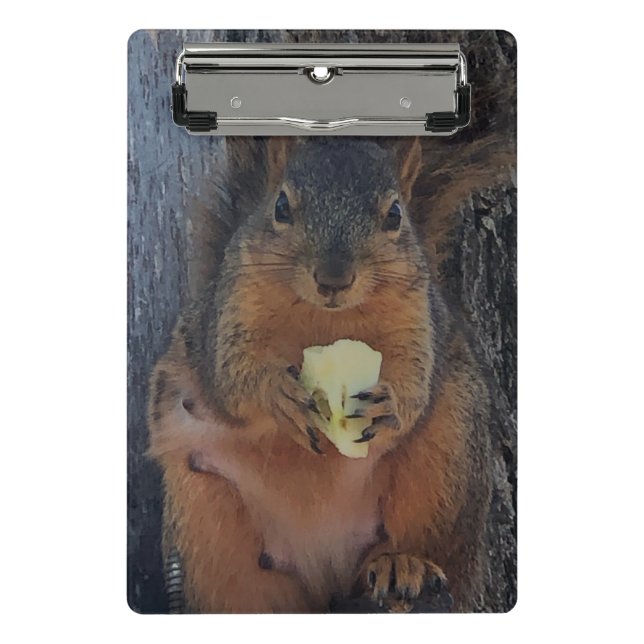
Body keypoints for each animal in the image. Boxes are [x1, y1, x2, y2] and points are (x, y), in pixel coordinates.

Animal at [147, 137, 493, 613]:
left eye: (394, 215)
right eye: (281, 207)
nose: (333, 278)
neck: (326, 320)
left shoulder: (419, 318)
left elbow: (416, 379)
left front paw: (391, 403)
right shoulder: (230, 311)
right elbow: (233, 375)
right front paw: (277, 393)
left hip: (446, 463)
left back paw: (404, 565)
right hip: (206, 515)